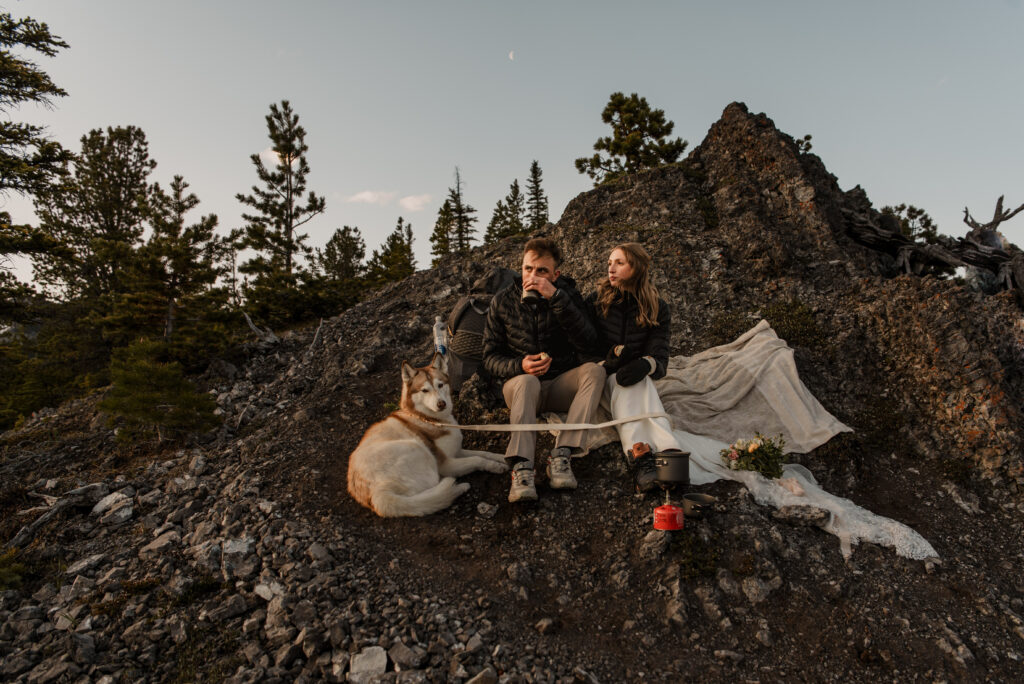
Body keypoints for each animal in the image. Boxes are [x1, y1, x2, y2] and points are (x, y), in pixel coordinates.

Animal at [348, 356, 507, 516]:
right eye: (424, 390)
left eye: (440, 385)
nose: (441, 404)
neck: (427, 418)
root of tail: (376, 493)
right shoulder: (446, 464)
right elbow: (476, 459)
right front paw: (495, 466)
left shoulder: (456, 451)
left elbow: (484, 453)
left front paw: (502, 458)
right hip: (415, 447)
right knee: (433, 492)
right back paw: (458, 487)